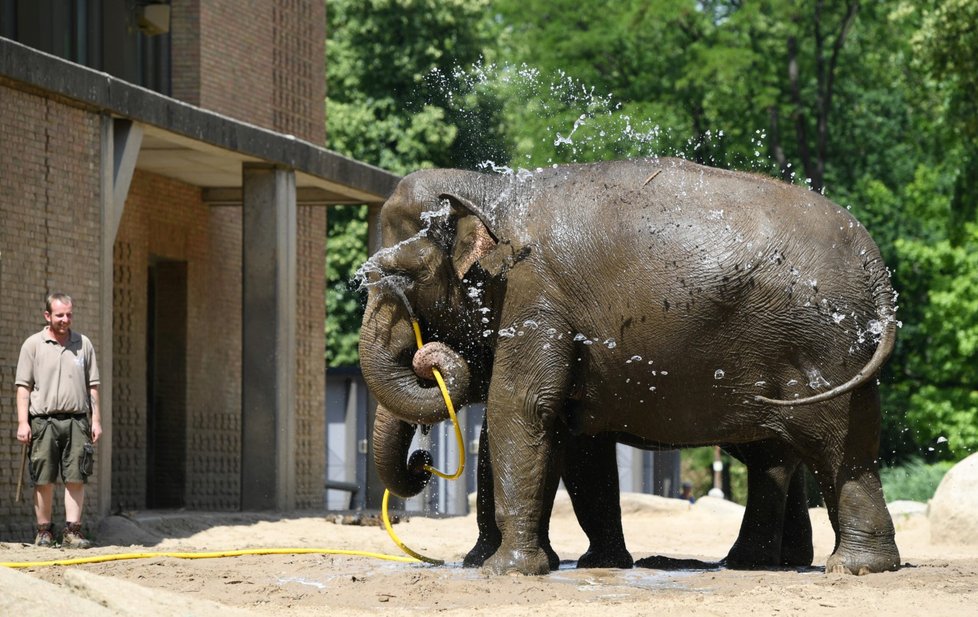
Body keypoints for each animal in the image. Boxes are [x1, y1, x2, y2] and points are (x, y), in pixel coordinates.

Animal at [354, 156, 896, 576]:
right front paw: (586, 564)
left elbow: (520, 408)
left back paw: (845, 567)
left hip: (825, 347)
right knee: (802, 449)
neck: (491, 189)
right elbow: (571, 437)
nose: (422, 463)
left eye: (402, 276)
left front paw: (504, 571)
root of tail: (877, 269)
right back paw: (781, 563)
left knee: (831, 446)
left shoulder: (535, 297)